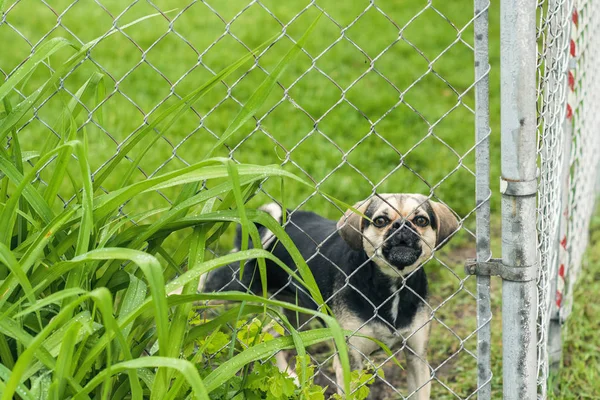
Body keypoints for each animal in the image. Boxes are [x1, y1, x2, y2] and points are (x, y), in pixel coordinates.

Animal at [202, 193, 460, 396]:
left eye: (421, 220)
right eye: (380, 221)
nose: (402, 227)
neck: (393, 286)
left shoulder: (417, 359)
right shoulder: (350, 361)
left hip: (299, 316)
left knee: (271, 335)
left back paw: (291, 378)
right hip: (227, 287)